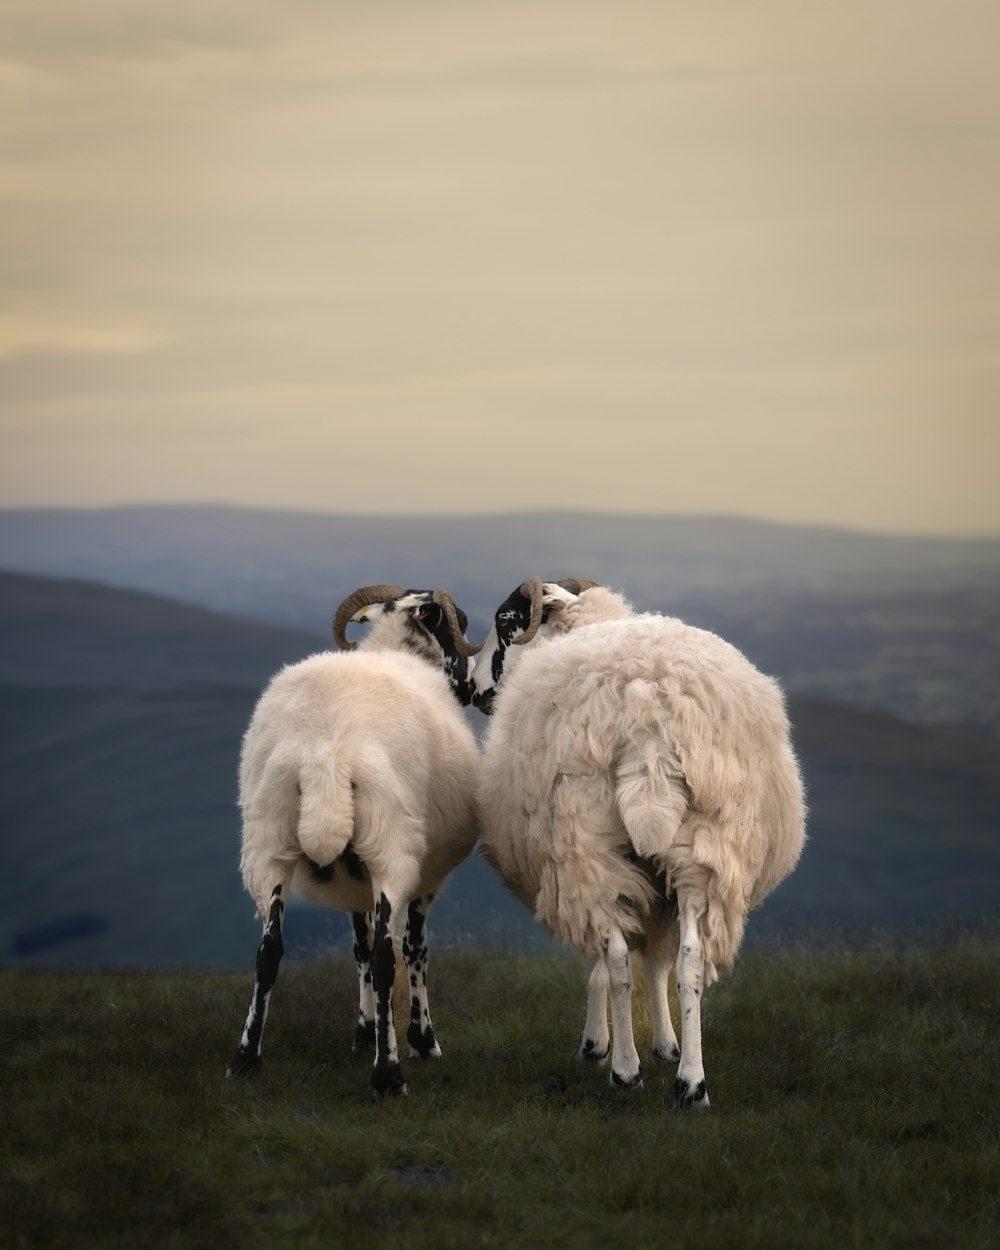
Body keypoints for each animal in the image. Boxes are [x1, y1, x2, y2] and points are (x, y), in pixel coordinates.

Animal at [225, 582, 480, 1095]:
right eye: (457, 622)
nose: (474, 687)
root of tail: (321, 752)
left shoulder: (353, 879)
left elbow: (358, 947)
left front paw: (364, 1032)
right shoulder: (425, 875)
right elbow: (412, 949)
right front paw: (421, 1041)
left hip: (268, 841)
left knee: (269, 951)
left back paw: (245, 1058)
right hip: (390, 844)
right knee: (387, 958)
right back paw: (389, 1076)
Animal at [472, 575, 810, 1105]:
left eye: (505, 622)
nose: (472, 686)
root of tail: (647, 716)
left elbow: (612, 961)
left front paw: (598, 1045)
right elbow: (657, 960)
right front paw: (667, 1046)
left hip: (585, 840)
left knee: (616, 960)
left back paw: (626, 1073)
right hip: (704, 850)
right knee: (690, 961)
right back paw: (691, 1084)